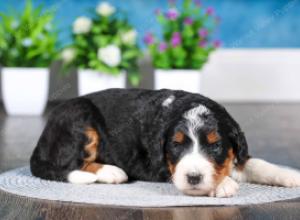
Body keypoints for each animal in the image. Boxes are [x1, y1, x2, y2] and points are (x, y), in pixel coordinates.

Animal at [29, 88, 300, 197]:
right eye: (176, 145)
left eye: (215, 145)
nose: (193, 178)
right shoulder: (157, 164)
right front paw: (223, 184)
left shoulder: (236, 153)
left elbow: (253, 163)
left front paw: (289, 175)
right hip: (80, 118)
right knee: (71, 164)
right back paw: (111, 172)